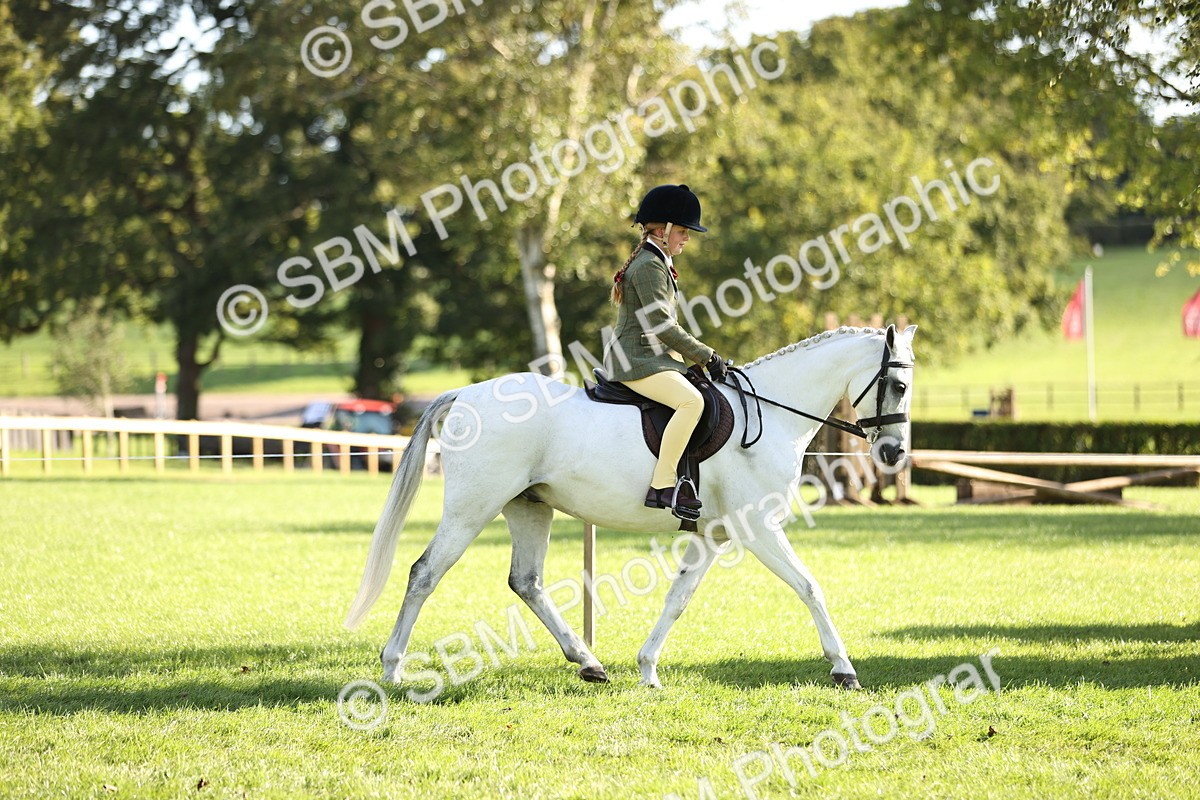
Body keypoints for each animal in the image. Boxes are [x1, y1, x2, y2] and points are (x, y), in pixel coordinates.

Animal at [344, 324, 916, 691]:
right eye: (899, 384)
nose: (893, 454)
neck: (772, 414)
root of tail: (464, 394)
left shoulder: (714, 535)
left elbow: (678, 598)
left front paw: (647, 669)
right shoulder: (758, 527)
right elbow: (809, 586)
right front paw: (844, 669)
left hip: (528, 507)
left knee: (526, 582)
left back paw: (589, 663)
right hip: (472, 508)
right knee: (424, 572)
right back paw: (392, 669)